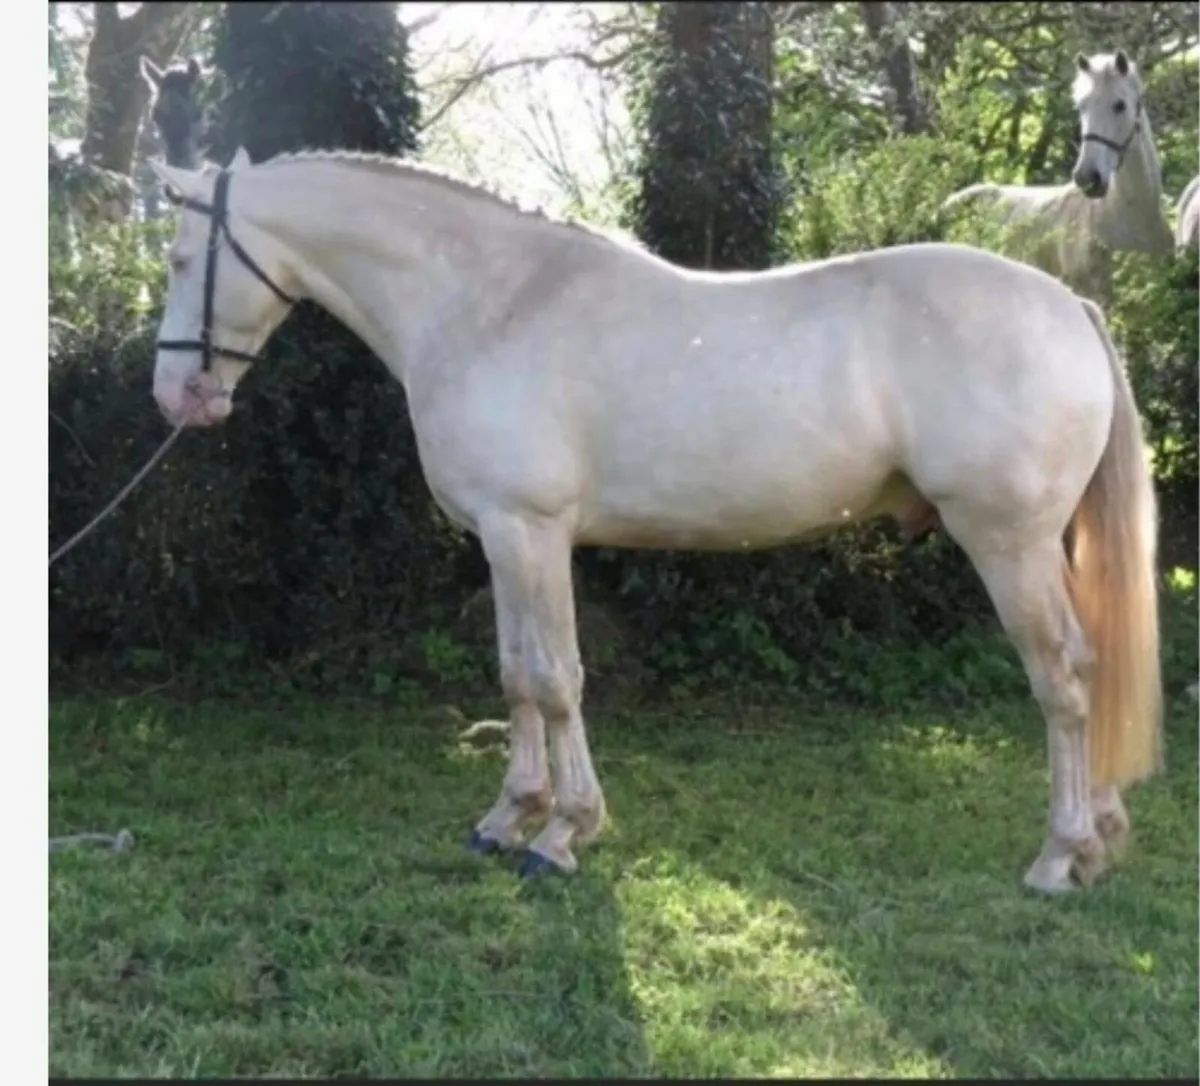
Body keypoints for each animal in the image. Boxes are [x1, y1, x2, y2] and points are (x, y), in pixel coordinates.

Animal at [144, 146, 1163, 895]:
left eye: (181, 258)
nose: (174, 395)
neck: (489, 302)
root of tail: (1067, 305)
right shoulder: (502, 540)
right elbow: (514, 675)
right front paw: (507, 817)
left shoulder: (532, 531)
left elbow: (556, 681)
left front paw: (561, 834)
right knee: (1090, 667)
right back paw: (1104, 833)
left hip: (1009, 544)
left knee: (1064, 679)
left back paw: (1060, 855)